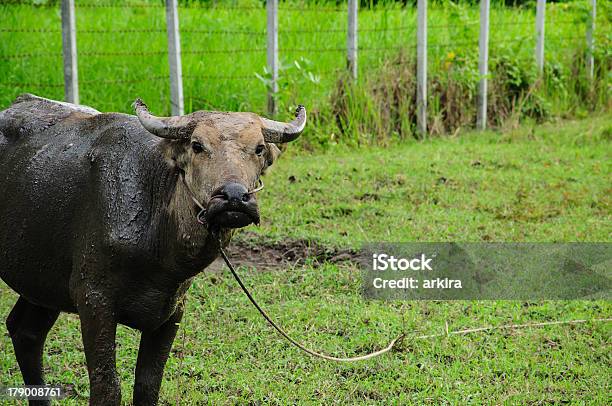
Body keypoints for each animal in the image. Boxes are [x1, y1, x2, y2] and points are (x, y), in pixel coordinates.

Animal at [0, 93, 306, 404]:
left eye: (258, 148)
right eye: (197, 145)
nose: (234, 197)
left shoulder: (172, 312)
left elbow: (148, 385)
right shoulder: (93, 300)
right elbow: (107, 387)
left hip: (42, 280)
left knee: (26, 332)